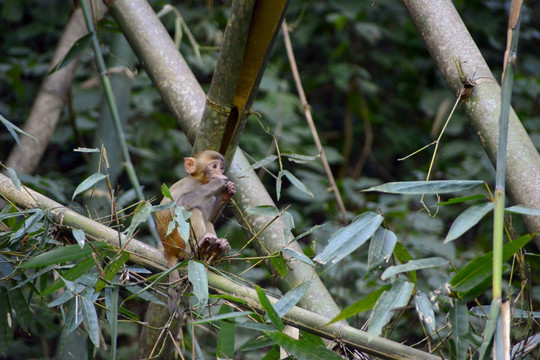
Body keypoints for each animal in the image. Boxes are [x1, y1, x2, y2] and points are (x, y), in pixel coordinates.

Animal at [154, 150, 234, 312]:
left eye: (222, 167)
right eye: (214, 166)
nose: (220, 172)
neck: (200, 181)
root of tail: (167, 249)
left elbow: (209, 215)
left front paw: (227, 193)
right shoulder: (190, 185)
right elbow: (180, 205)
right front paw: (218, 183)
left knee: (206, 219)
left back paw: (214, 250)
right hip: (177, 241)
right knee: (194, 211)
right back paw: (195, 250)